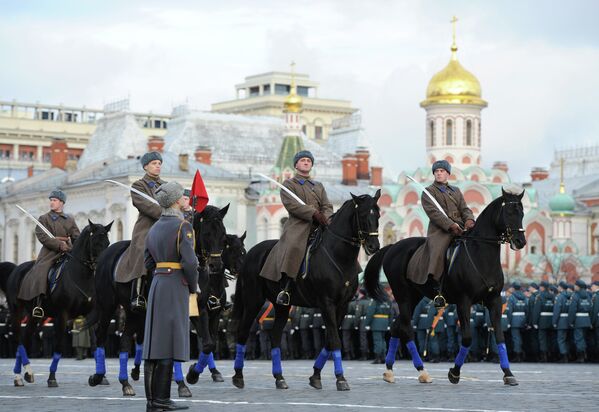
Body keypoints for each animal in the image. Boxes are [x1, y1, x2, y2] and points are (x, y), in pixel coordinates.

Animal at [3, 220, 112, 388]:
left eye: (108, 242)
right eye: (95, 242)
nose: (103, 268)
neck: (81, 276)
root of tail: (16, 268)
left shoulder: (90, 314)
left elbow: (94, 344)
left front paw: (99, 376)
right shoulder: (62, 314)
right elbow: (59, 345)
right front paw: (52, 377)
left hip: (35, 316)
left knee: (25, 337)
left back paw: (26, 373)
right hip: (16, 311)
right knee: (18, 339)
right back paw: (18, 376)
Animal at [86, 204, 230, 398]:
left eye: (223, 235)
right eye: (207, 233)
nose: (216, 265)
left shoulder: (200, 309)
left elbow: (208, 344)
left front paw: (192, 375)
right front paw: (182, 382)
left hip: (133, 312)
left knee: (125, 341)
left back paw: (125, 383)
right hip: (107, 306)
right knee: (100, 336)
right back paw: (98, 376)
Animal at [185, 232, 246, 386]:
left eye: (243, 251)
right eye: (233, 250)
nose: (243, 272)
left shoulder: (215, 314)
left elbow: (210, 343)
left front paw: (214, 372)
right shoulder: (201, 313)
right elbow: (207, 344)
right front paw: (193, 373)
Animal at [232, 192, 382, 392]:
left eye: (378, 215)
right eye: (364, 215)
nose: (374, 246)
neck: (339, 257)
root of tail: (250, 253)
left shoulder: (342, 305)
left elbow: (329, 340)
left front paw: (316, 375)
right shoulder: (326, 303)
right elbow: (334, 340)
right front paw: (340, 379)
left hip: (282, 306)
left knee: (275, 336)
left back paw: (279, 378)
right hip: (253, 300)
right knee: (242, 332)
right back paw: (238, 376)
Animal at [364, 187, 528, 386]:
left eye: (522, 213)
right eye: (509, 212)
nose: (520, 241)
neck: (481, 255)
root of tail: (393, 246)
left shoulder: (495, 301)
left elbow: (500, 337)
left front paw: (508, 373)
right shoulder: (463, 302)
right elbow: (467, 338)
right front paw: (454, 372)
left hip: (413, 298)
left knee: (397, 326)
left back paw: (389, 370)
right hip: (402, 296)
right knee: (406, 329)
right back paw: (422, 371)